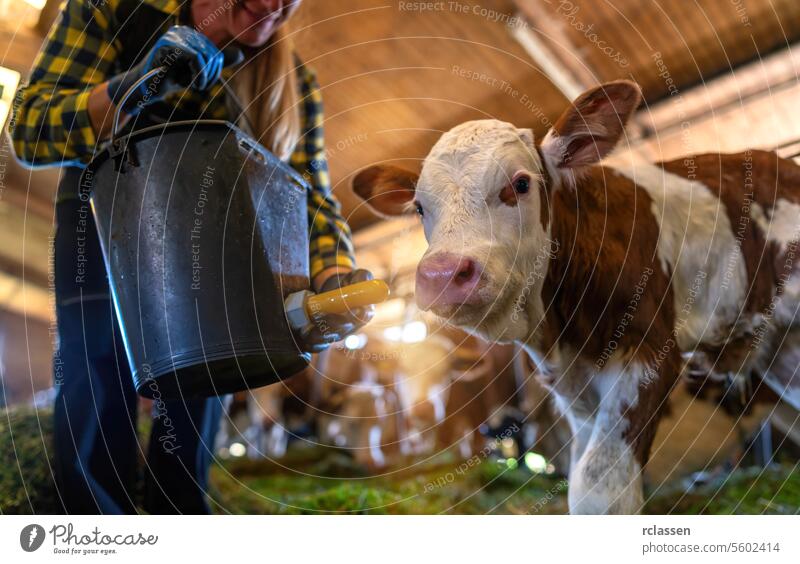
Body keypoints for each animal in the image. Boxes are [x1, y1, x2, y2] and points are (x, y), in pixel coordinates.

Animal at [354, 80, 800, 516]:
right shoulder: (573, 390)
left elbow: (598, 487)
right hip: (780, 350)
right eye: (419, 207)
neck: (560, 332)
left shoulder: (648, 353)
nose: (443, 275)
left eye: (520, 184)